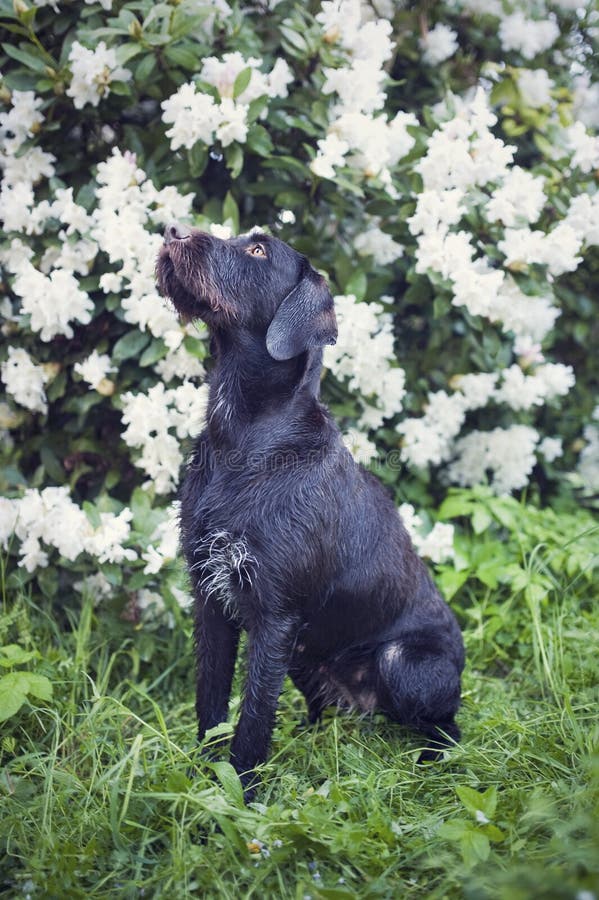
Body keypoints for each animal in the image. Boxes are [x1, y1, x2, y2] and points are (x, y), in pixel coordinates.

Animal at [157, 223, 466, 796]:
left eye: (257, 250)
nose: (171, 230)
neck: (243, 435)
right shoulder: (211, 599)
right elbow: (211, 703)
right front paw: (201, 777)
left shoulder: (274, 616)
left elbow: (253, 719)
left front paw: (242, 796)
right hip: (304, 655)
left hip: (400, 660)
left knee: (448, 724)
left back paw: (429, 764)